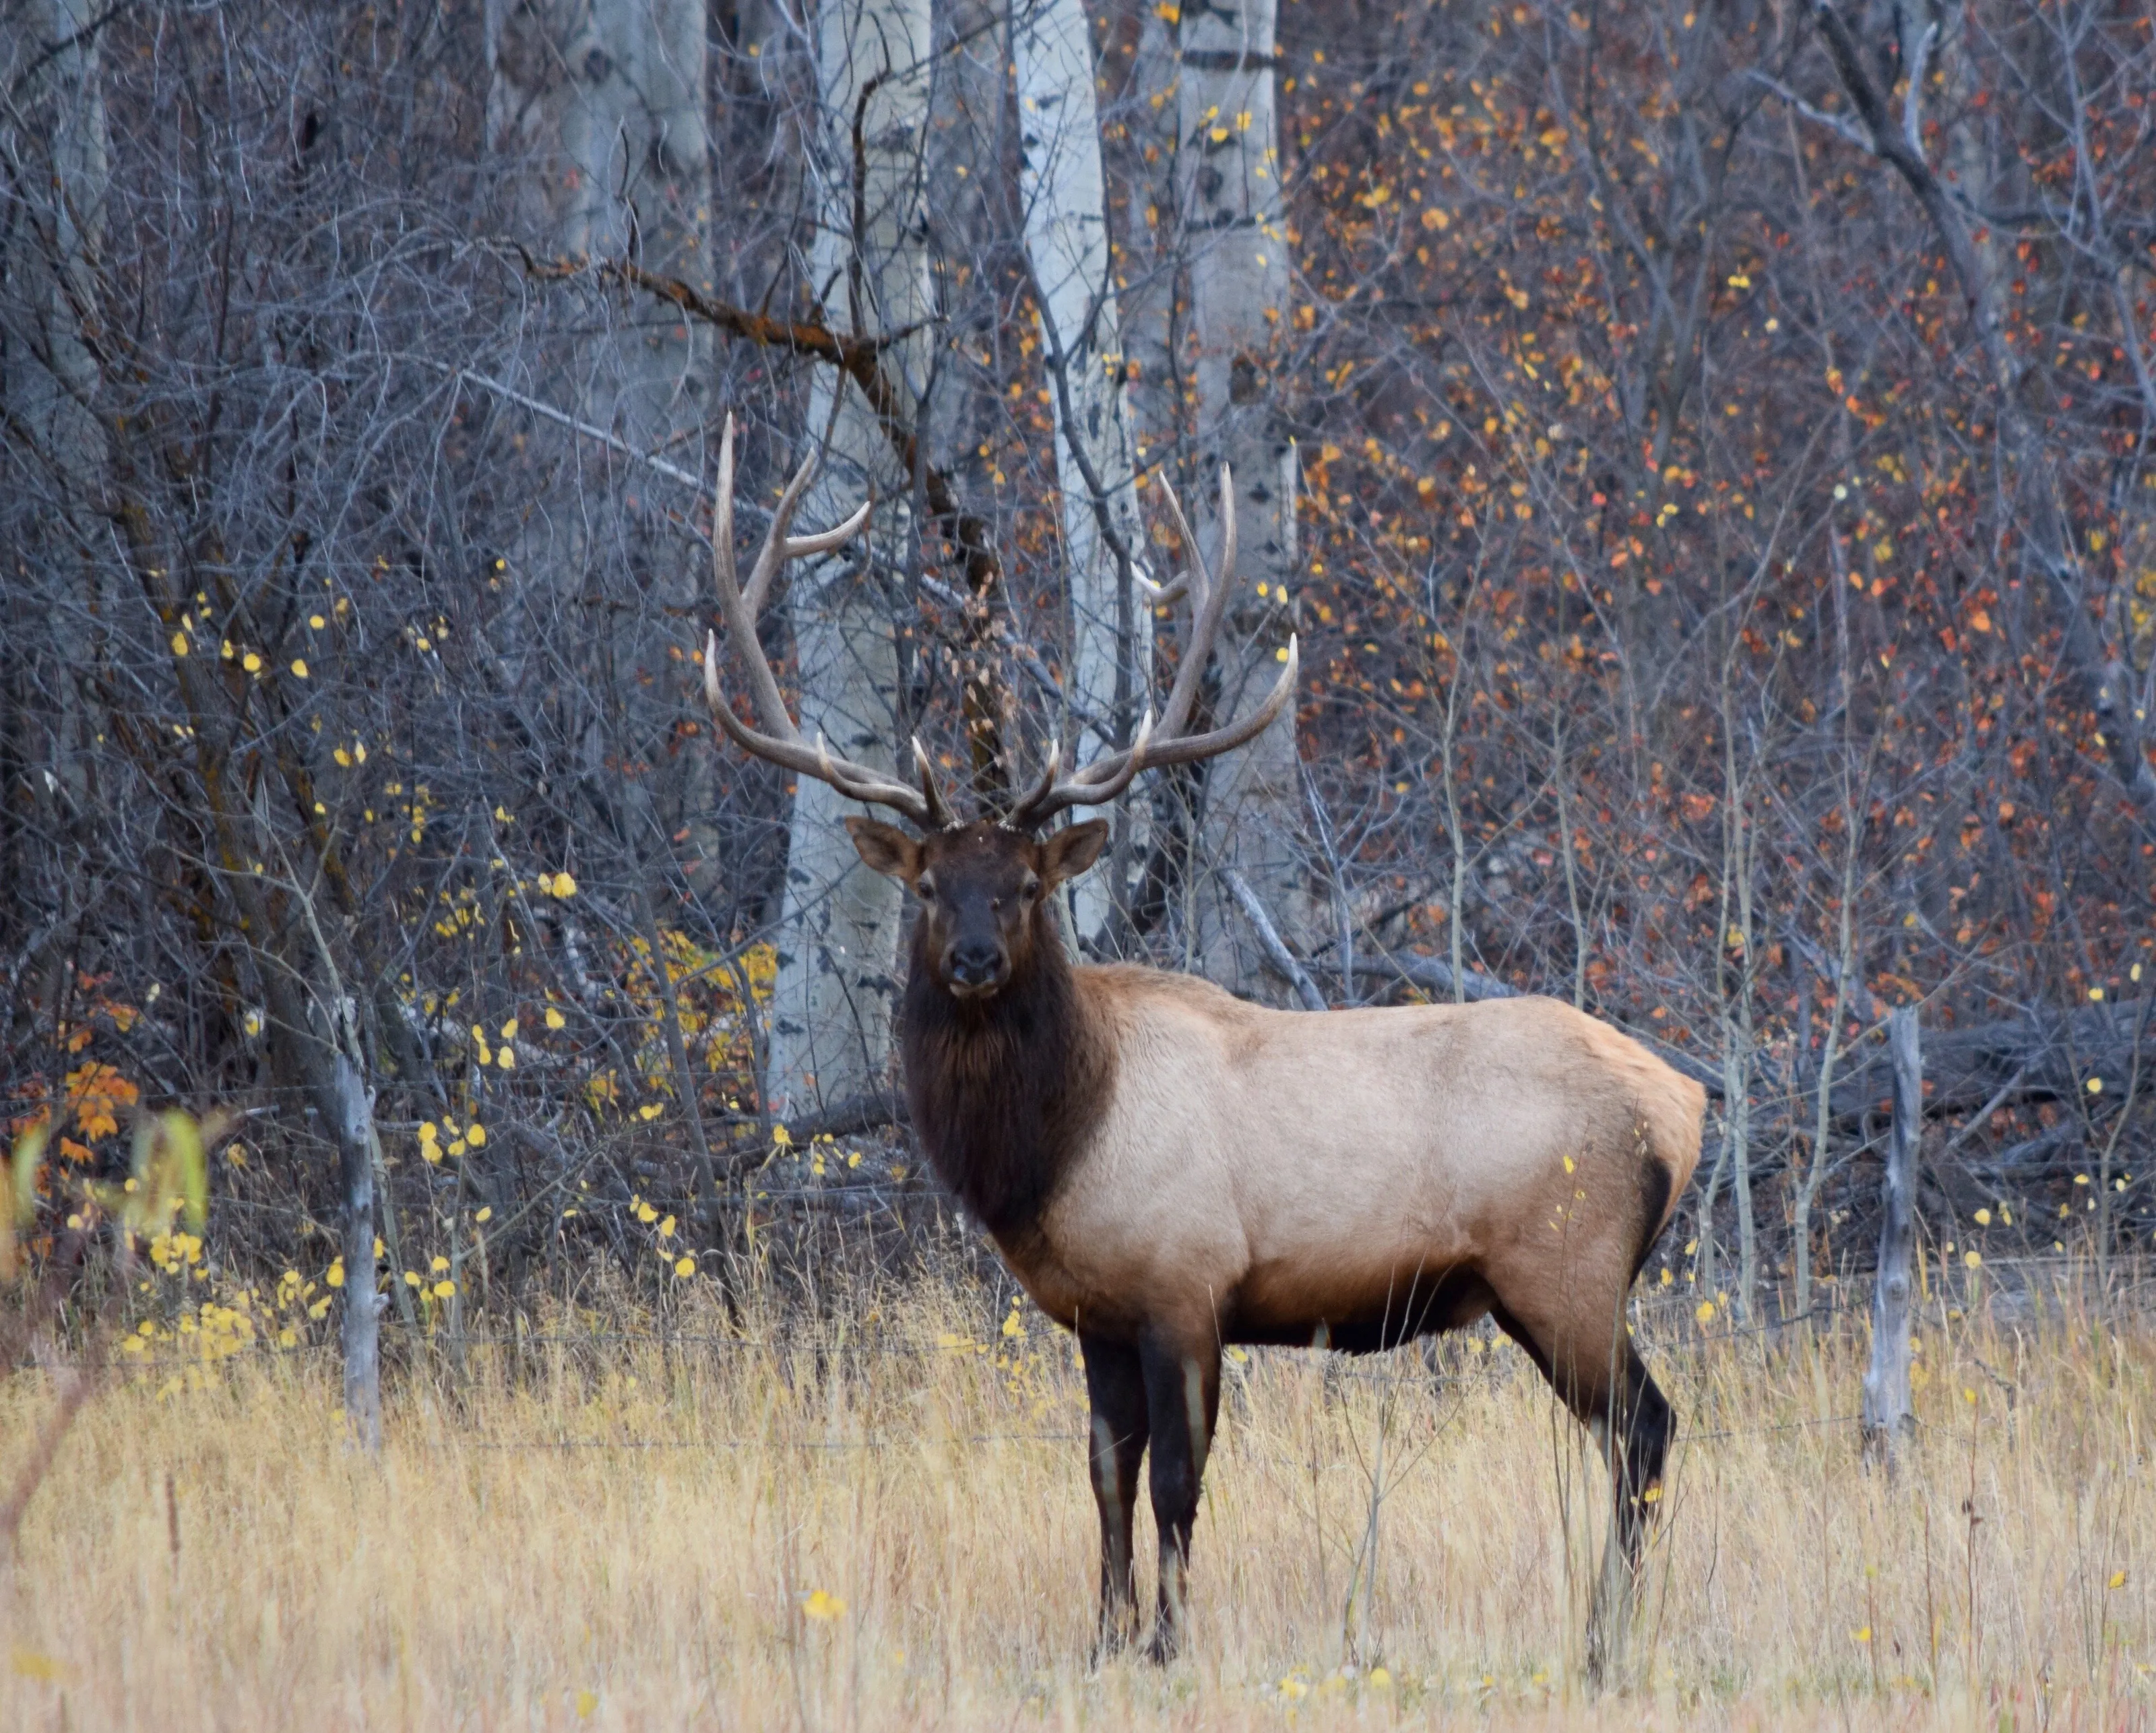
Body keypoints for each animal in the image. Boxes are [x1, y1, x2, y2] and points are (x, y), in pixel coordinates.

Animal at [696, 417, 1705, 1680]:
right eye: (930, 885)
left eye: (1025, 886)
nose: (973, 958)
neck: (1053, 1149)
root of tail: (1687, 1106)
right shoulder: (1096, 1311)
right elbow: (1104, 1477)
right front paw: (1101, 1640)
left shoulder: (1188, 1282)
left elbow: (1179, 1480)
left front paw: (1168, 1646)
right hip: (1555, 1282)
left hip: (1564, 1263)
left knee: (1647, 1429)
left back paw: (1605, 1645)